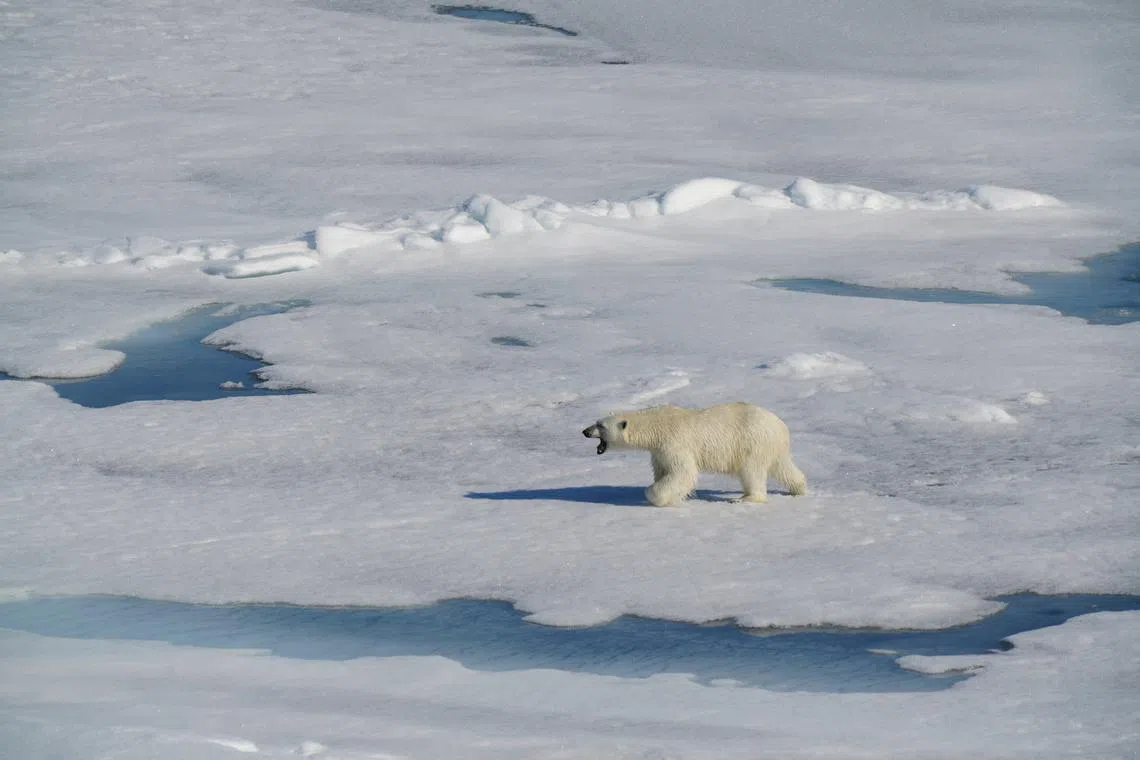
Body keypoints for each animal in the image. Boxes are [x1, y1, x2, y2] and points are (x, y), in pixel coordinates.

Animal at [582, 402, 807, 507]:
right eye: (596, 421)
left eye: (600, 426)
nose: (585, 431)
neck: (656, 425)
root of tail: (781, 427)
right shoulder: (659, 452)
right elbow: (663, 471)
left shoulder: (675, 443)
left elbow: (683, 472)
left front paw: (659, 497)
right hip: (771, 447)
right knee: (783, 467)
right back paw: (799, 489)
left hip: (752, 443)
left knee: (751, 471)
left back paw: (743, 498)